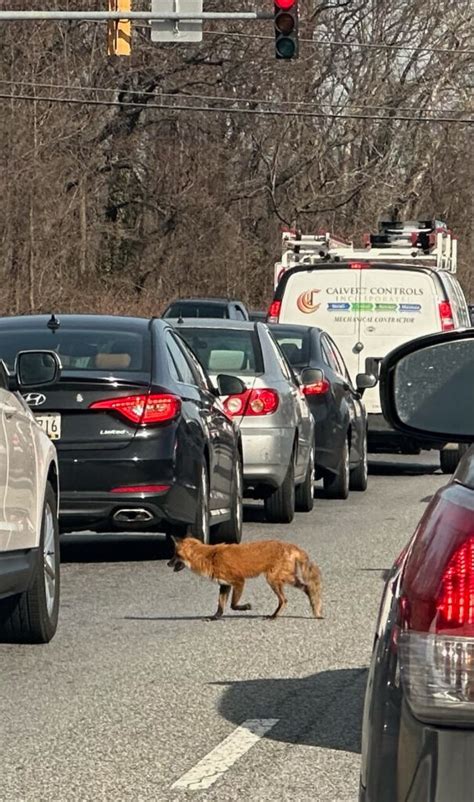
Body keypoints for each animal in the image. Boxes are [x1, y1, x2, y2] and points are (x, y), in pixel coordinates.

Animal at [167, 536, 322, 620]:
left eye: (175, 555)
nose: (167, 563)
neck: (210, 557)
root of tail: (290, 545)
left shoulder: (239, 581)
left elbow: (233, 605)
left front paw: (246, 607)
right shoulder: (225, 585)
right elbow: (220, 606)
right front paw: (214, 617)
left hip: (273, 580)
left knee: (284, 600)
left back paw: (273, 616)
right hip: (286, 578)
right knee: (307, 588)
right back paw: (314, 608)